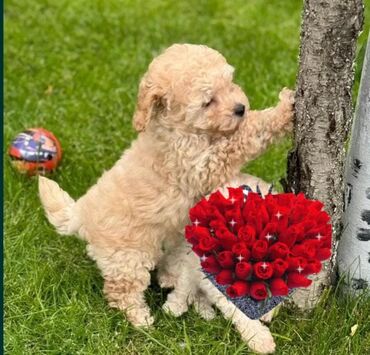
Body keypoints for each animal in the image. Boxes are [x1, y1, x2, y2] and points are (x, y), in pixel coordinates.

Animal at [39, 43, 294, 328]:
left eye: (230, 83)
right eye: (208, 102)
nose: (241, 108)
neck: (179, 128)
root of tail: (79, 213)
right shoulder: (201, 163)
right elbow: (245, 136)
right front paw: (283, 110)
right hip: (127, 257)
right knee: (121, 290)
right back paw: (141, 319)